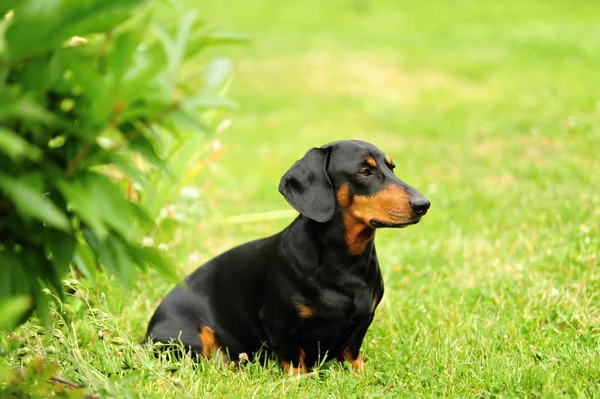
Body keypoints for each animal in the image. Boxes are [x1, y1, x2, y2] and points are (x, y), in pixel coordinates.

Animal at [143, 141, 428, 376]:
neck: (345, 263)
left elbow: (352, 352)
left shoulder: (363, 319)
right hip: (186, 338)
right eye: (365, 171)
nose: (424, 205)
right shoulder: (279, 325)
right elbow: (293, 360)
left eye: (391, 168)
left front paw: (360, 375)